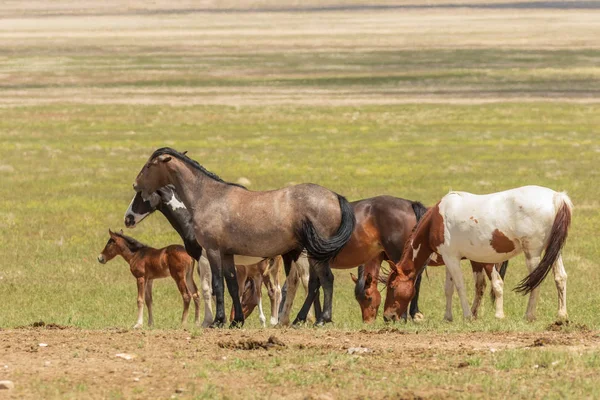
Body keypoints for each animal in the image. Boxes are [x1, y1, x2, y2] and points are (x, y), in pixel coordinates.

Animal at [123, 186, 282, 326]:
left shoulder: (205, 260)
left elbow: (207, 289)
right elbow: (214, 290)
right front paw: (218, 320)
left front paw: (208, 321)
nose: (127, 219)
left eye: (142, 194)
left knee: (275, 290)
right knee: (277, 290)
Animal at [384, 187, 572, 322]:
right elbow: (449, 289)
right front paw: (448, 317)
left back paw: (529, 315)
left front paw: (468, 315)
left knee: (536, 282)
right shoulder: (449, 259)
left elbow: (460, 286)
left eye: (392, 286)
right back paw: (562, 315)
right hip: (554, 252)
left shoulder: (452, 259)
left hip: (532, 254)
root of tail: (557, 197)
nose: (387, 316)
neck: (436, 220)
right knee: (560, 277)